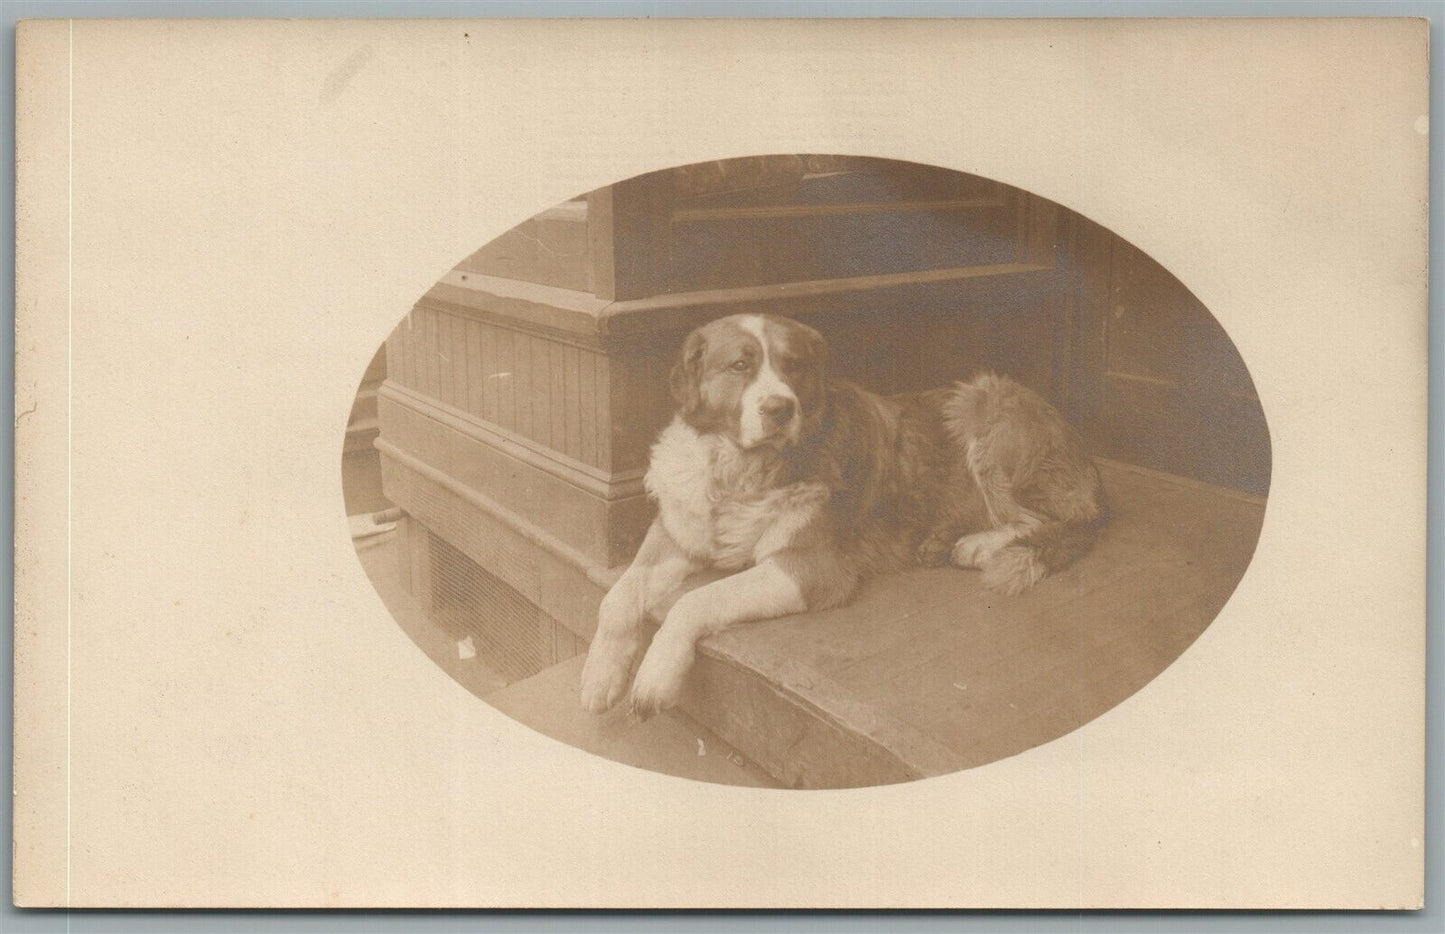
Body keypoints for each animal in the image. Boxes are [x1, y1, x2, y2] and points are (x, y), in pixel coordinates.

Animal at [580, 315, 1098, 717]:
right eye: (740, 366)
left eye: (793, 366)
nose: (779, 408)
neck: (741, 473)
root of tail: (1078, 445)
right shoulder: (675, 536)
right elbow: (619, 594)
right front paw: (600, 675)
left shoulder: (810, 568)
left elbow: (696, 600)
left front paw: (654, 678)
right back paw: (938, 541)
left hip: (983, 407)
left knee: (1053, 520)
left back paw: (978, 545)